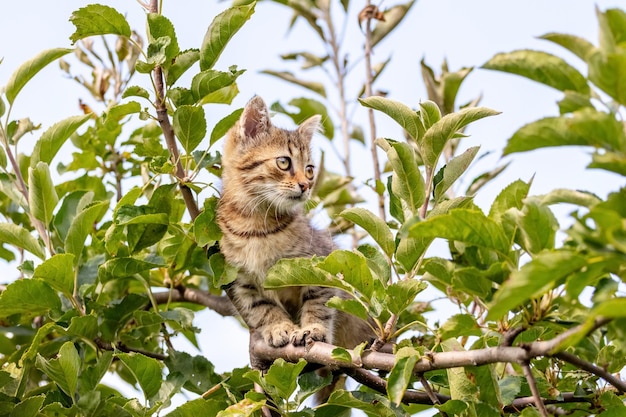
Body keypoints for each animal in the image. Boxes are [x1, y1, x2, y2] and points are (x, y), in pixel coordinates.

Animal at [217, 96, 370, 352]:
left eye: (309, 170)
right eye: (283, 162)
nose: (306, 186)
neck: (256, 227)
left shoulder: (320, 265)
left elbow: (317, 303)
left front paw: (314, 329)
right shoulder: (243, 283)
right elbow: (264, 309)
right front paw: (280, 327)